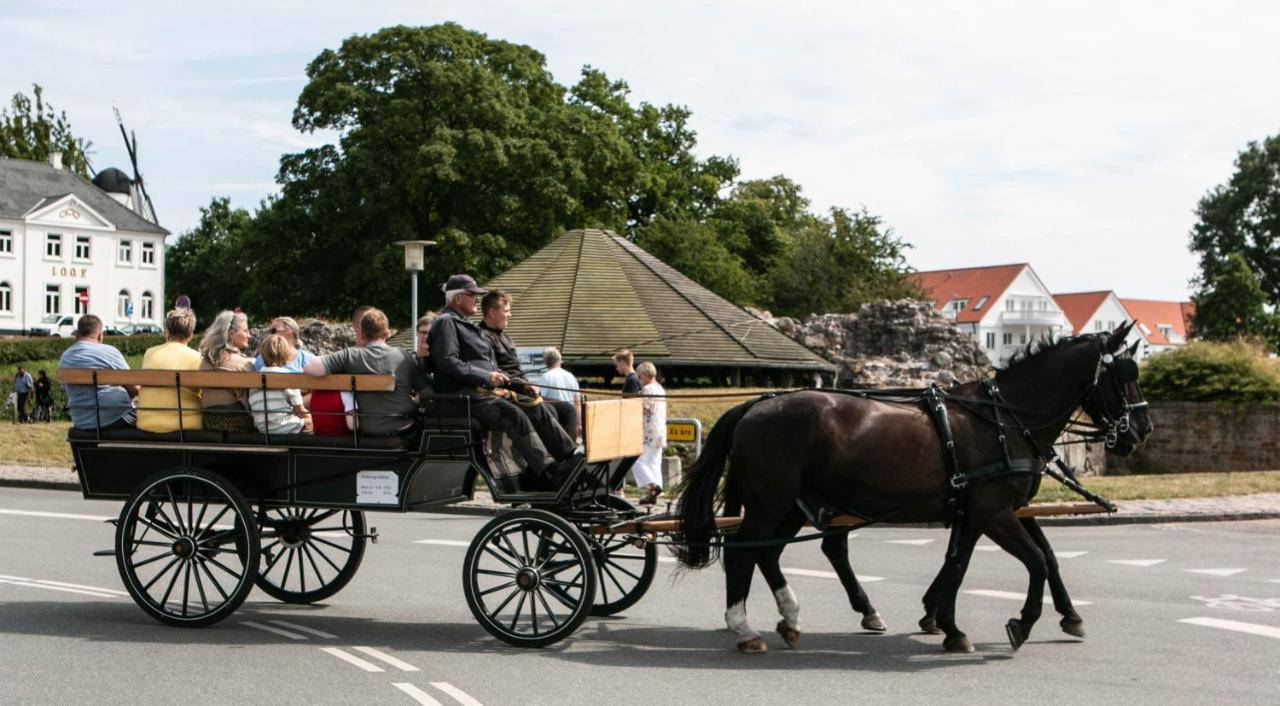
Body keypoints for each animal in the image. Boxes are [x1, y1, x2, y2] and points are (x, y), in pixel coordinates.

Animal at [670, 323, 1152, 649]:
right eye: (1124, 375)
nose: (1140, 431)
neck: (1003, 419)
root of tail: (754, 405)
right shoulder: (992, 511)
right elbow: (1033, 561)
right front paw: (1019, 623)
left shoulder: (986, 511)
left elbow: (980, 562)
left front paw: (950, 625)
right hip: (772, 502)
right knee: (744, 552)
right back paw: (744, 627)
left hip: (791, 504)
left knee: (767, 553)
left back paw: (791, 618)